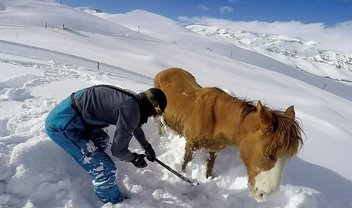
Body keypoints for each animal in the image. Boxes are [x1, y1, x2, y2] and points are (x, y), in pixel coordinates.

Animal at [155, 68, 304, 202]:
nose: (265, 195)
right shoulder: (191, 145)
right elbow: (185, 162)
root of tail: (164, 71)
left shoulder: (214, 150)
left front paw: (208, 180)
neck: (216, 121)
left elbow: (209, 168)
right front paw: (183, 176)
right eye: (268, 154)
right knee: (160, 124)